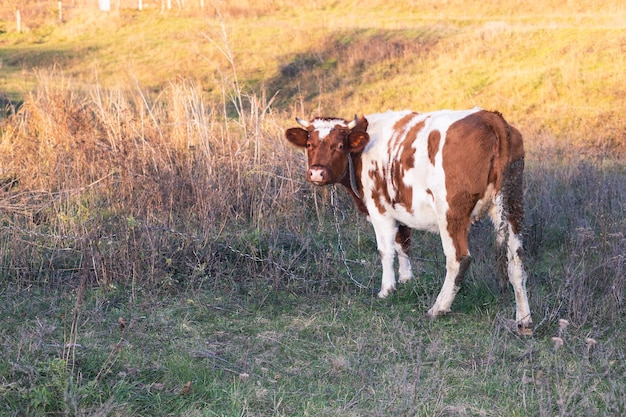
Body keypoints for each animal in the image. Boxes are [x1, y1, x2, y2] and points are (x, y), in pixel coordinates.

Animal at [284, 108, 532, 334]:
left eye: (339, 146)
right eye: (310, 145)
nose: (317, 173)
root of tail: (488, 116)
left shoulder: (379, 208)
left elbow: (385, 250)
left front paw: (387, 289)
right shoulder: (399, 208)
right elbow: (402, 242)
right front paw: (406, 279)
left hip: (451, 212)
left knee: (458, 258)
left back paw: (438, 308)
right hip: (512, 203)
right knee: (516, 258)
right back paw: (524, 320)